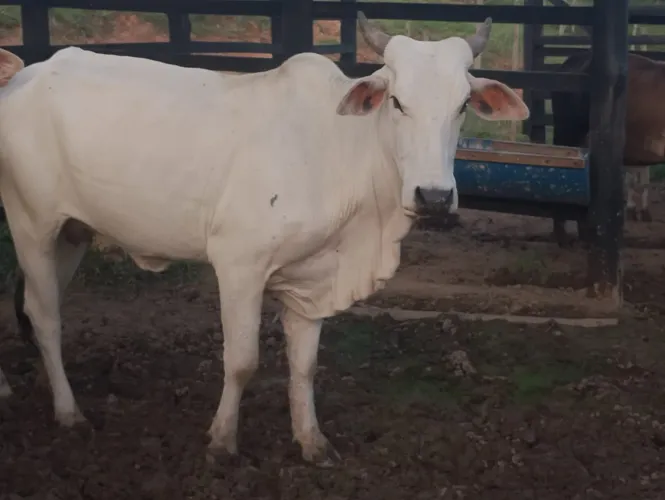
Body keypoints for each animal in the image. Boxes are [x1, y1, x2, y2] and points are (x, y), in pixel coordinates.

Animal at [0, 13, 528, 465]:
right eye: (398, 101)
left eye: (463, 105)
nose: (434, 196)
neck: (340, 148)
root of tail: (25, 77)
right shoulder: (239, 264)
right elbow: (242, 361)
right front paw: (222, 441)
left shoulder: (313, 279)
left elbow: (305, 365)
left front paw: (312, 441)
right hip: (32, 224)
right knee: (44, 316)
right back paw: (69, 412)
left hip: (73, 233)